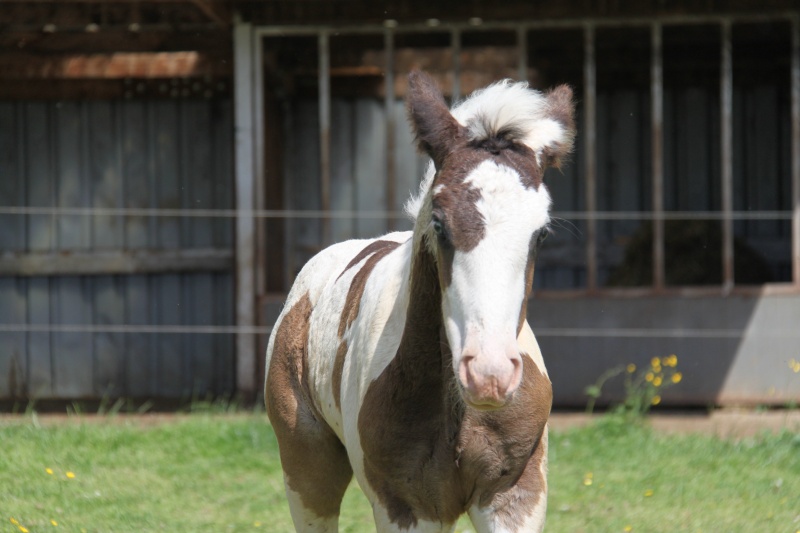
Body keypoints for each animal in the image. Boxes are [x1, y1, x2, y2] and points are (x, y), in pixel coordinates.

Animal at [268, 71, 576, 532]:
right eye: (439, 223)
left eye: (541, 233)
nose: (489, 374)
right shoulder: (408, 506)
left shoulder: (516, 497)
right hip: (307, 468)